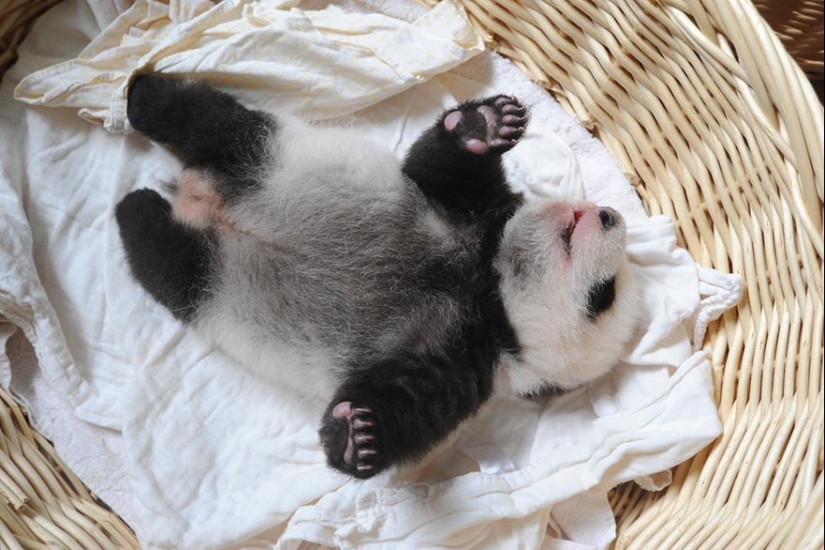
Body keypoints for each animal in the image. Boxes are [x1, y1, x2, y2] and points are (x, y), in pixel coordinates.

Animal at [114, 75, 636, 480]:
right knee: (212, 119)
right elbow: (436, 166)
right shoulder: (463, 208)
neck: (484, 284)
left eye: (603, 294)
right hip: (266, 153)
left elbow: (408, 405)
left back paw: (136, 207)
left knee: (169, 260)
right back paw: (143, 99)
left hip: (211, 277)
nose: (610, 215)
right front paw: (485, 124)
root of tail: (196, 196)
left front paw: (355, 436)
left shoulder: (464, 362)